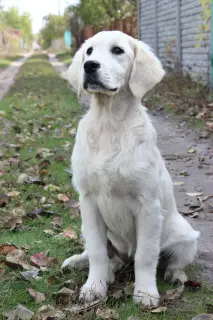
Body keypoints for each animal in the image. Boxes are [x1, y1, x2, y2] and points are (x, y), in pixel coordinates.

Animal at [62, 31, 200, 308]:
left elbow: (146, 255)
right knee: (105, 255)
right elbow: (97, 251)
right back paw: (90, 266)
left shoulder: (147, 205)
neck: (110, 123)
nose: (89, 66)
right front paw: (95, 286)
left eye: (118, 50)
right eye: (89, 51)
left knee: (174, 259)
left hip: (185, 235)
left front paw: (145, 293)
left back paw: (175, 275)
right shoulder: (88, 202)